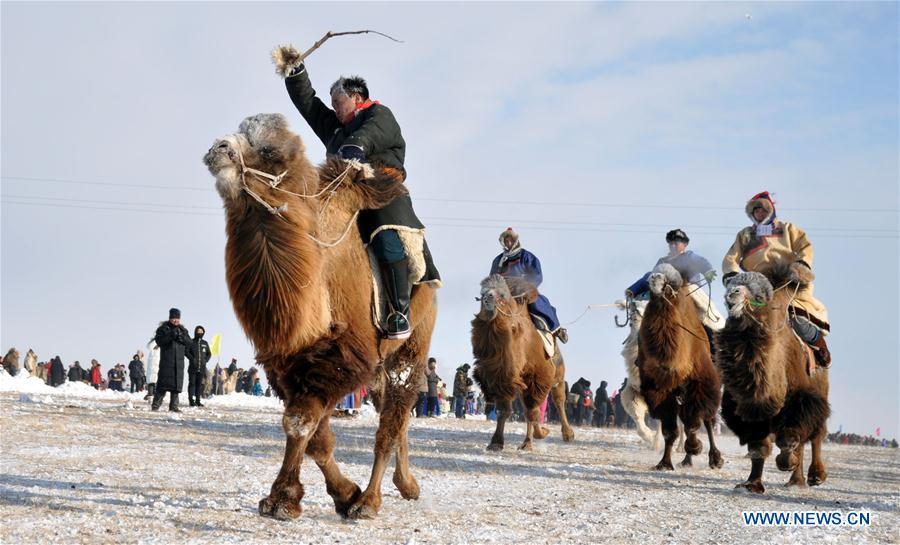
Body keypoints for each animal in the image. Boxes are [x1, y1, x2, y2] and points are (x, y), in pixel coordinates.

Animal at [205, 112, 442, 520]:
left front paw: (285, 499)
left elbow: (300, 423)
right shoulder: (287, 363)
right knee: (395, 414)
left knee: (391, 420)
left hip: (411, 345)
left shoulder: (340, 356)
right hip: (380, 366)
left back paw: (370, 502)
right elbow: (314, 436)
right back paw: (405, 485)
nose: (217, 148)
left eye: (268, 151)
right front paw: (339, 493)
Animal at [468, 276, 572, 450]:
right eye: (482, 292)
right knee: (529, 408)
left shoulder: (538, 376)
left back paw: (568, 434)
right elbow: (505, 410)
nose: (487, 298)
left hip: (557, 374)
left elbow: (532, 410)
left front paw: (541, 434)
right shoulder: (500, 377)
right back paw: (529, 441)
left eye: (502, 295)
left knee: (558, 400)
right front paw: (496, 443)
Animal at [636, 262, 728, 468]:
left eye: (666, 284)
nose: (654, 277)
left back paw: (714, 458)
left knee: (706, 419)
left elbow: (694, 422)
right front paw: (664, 463)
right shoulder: (659, 390)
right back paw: (687, 460)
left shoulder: (700, 383)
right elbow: (670, 430)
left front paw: (696, 447)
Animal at [716, 264, 828, 492]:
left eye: (758, 295)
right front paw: (752, 484)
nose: (732, 294)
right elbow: (758, 446)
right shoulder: (749, 408)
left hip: (820, 391)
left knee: (816, 435)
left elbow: (789, 439)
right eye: (730, 284)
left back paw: (814, 476)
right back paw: (796, 481)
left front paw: (786, 462)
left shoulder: (800, 399)